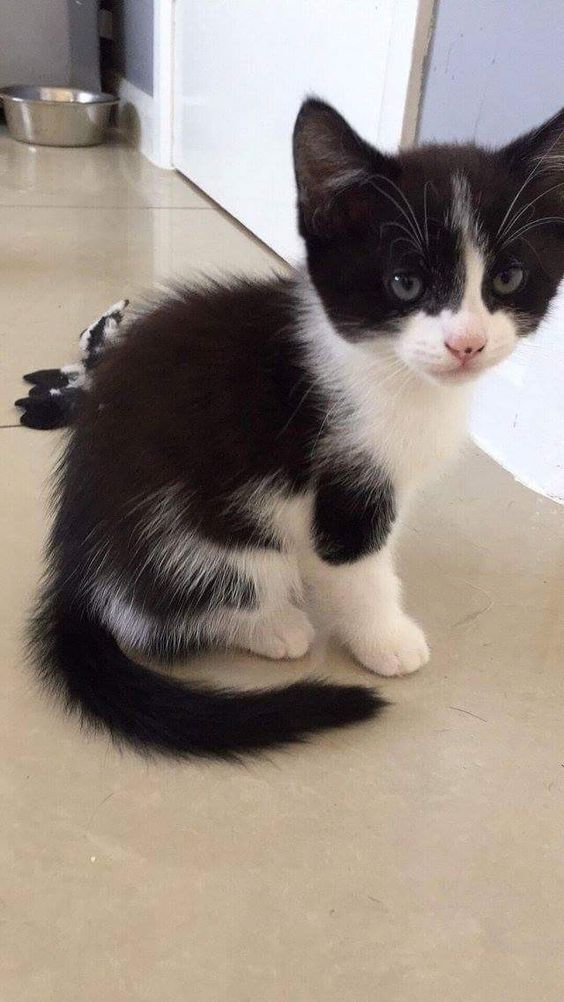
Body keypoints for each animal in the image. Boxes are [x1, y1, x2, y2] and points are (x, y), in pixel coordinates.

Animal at [32, 99, 564, 757]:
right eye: (406, 283)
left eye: (508, 279)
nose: (467, 343)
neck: (387, 371)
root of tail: (73, 566)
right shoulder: (345, 478)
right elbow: (358, 564)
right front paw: (387, 639)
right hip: (196, 539)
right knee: (159, 616)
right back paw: (274, 626)